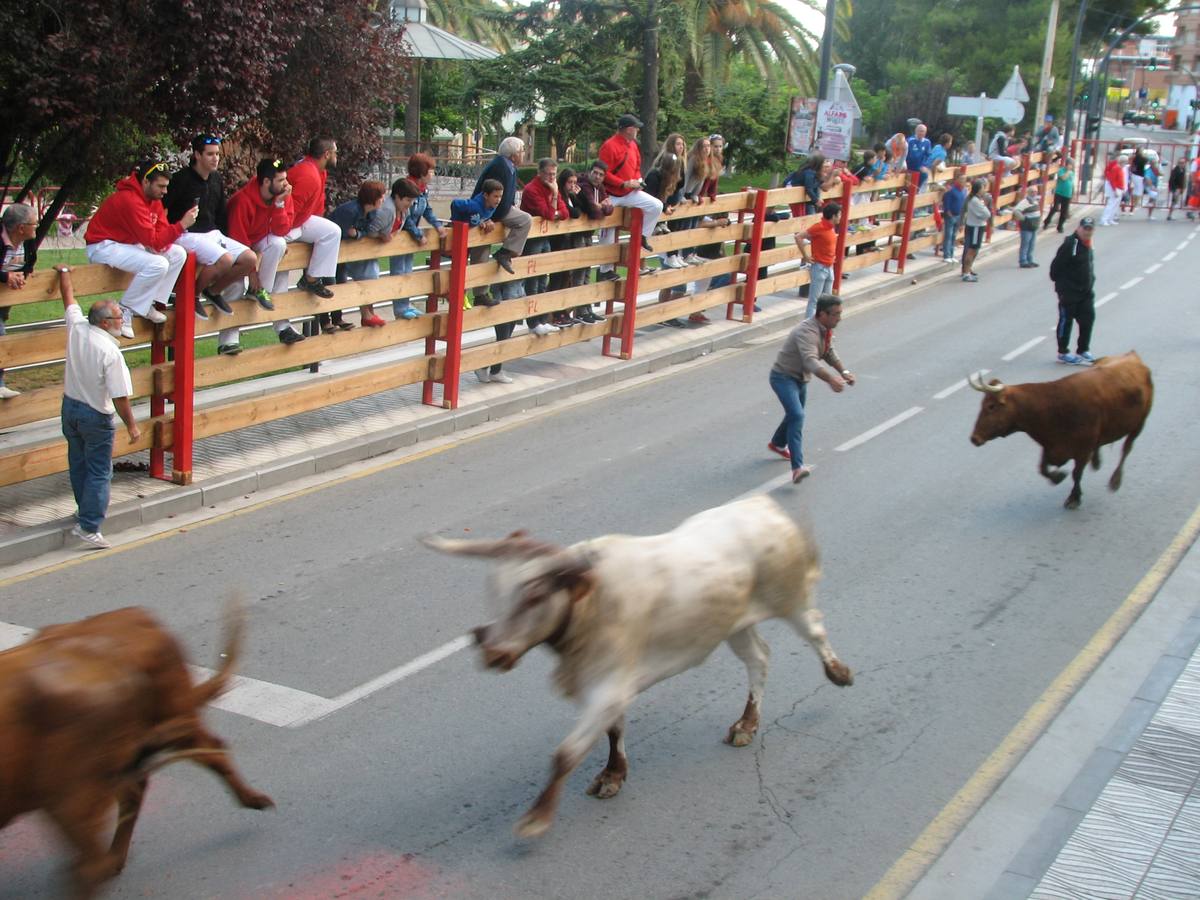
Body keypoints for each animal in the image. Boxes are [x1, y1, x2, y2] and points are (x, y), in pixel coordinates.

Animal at [0, 602, 272, 897]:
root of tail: (141, 616)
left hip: (87, 785)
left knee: (209, 750)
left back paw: (254, 799)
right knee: (133, 794)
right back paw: (113, 861)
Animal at [422, 494, 854, 840]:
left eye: (534, 597)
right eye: (493, 589)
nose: (493, 653)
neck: (587, 606)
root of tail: (762, 506)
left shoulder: (608, 687)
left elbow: (565, 754)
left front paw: (536, 819)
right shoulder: (606, 687)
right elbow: (613, 731)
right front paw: (613, 775)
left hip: (791, 599)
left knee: (815, 631)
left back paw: (838, 673)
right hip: (734, 624)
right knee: (759, 658)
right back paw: (746, 724)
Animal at [964, 350, 1152, 508]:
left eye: (991, 406)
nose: (974, 438)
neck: (1053, 405)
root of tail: (1132, 355)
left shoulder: (1082, 449)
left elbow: (1076, 473)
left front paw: (1074, 497)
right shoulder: (1050, 446)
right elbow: (1042, 469)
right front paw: (1058, 477)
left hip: (1139, 424)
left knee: (1126, 449)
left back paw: (1115, 480)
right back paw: (1097, 461)